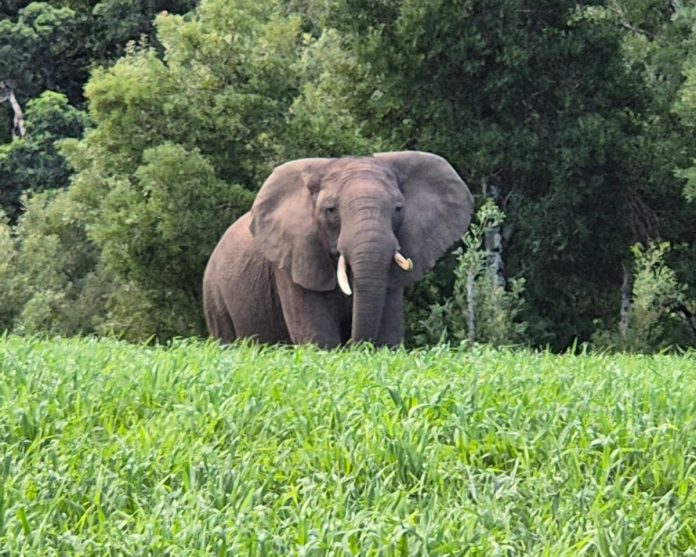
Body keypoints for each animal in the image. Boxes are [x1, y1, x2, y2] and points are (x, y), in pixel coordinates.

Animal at [203, 151, 474, 347]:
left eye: (398, 208)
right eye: (330, 210)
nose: (354, 346)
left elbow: (388, 334)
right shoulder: (295, 261)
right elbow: (318, 338)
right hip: (214, 292)